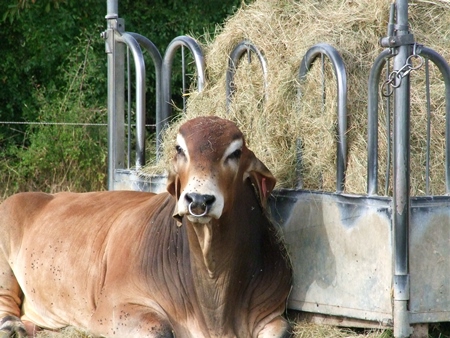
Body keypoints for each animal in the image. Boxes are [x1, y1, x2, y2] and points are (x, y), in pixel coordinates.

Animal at [0, 116, 292, 338]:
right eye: (179, 149)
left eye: (236, 153)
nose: (198, 200)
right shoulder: (113, 308)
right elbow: (160, 329)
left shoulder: (272, 314)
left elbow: (283, 330)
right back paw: (13, 327)